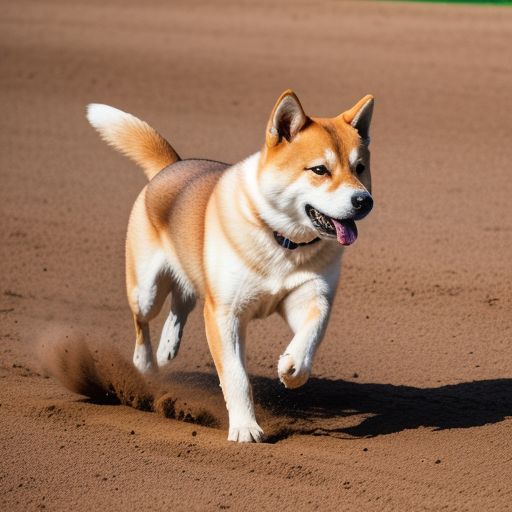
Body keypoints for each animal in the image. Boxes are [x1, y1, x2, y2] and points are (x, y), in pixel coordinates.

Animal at [86, 92, 374, 444]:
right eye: (319, 169)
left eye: (360, 168)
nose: (364, 201)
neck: (282, 241)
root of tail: (171, 166)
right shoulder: (224, 313)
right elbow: (235, 376)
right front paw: (245, 427)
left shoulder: (311, 295)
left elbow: (312, 332)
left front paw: (292, 367)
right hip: (146, 290)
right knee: (143, 320)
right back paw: (145, 365)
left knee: (183, 299)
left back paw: (168, 347)